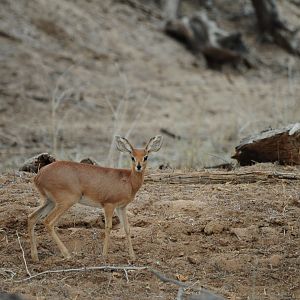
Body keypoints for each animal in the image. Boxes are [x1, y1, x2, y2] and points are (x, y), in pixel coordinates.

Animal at [28, 136, 163, 260]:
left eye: (145, 157)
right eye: (132, 157)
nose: (139, 166)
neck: (128, 180)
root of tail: (38, 176)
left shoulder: (121, 207)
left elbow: (127, 228)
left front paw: (132, 256)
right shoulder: (109, 205)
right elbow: (108, 227)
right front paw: (104, 255)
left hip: (49, 201)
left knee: (32, 217)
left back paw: (35, 257)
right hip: (66, 202)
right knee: (48, 222)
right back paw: (67, 254)